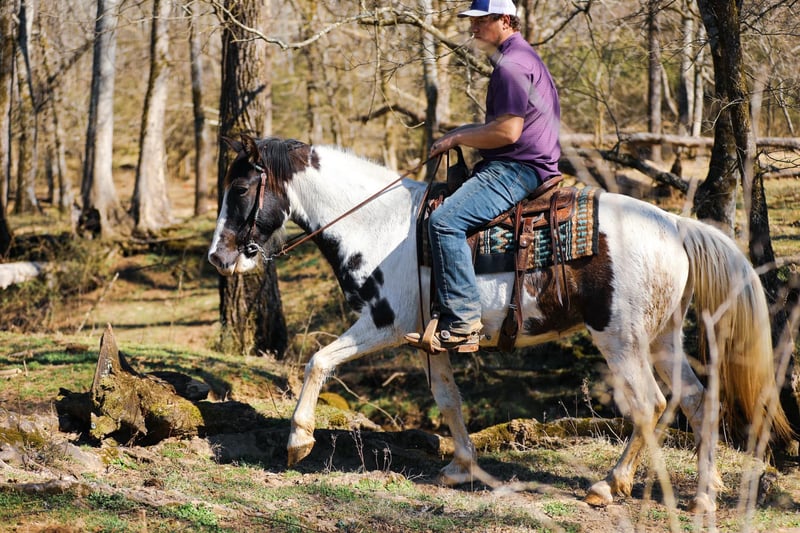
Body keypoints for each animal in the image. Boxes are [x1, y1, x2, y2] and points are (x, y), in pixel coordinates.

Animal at [207, 135, 792, 512]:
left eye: (240, 190)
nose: (218, 257)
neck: (380, 226)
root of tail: (672, 222)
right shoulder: (431, 341)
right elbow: (448, 402)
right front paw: (460, 467)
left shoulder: (382, 324)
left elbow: (317, 361)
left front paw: (297, 441)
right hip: (662, 336)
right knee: (695, 399)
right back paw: (705, 492)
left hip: (621, 340)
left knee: (649, 404)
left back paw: (609, 486)